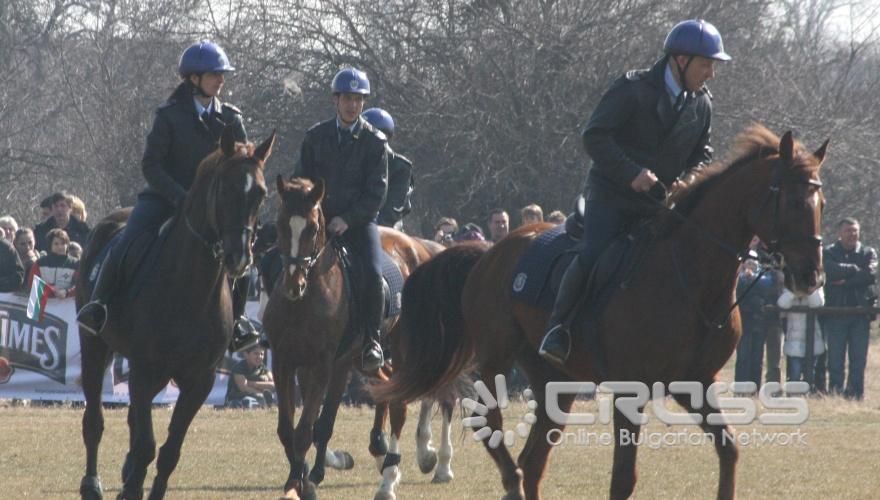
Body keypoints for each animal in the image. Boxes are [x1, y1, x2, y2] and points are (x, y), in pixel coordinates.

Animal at [77, 127, 276, 498]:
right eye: (224, 189)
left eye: (261, 193)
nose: (240, 258)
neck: (191, 288)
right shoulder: (143, 371)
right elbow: (147, 446)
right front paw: (131, 487)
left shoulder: (199, 380)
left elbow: (169, 451)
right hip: (95, 347)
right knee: (94, 421)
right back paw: (92, 485)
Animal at [262, 177, 454, 500]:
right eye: (279, 223)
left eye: (313, 228)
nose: (293, 285)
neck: (306, 301)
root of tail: (422, 248)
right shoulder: (285, 363)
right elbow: (288, 430)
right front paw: (301, 480)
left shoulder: (326, 365)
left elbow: (312, 427)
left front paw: (302, 484)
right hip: (365, 361)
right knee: (390, 388)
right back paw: (393, 454)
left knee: (404, 403)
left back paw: (400, 475)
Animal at [374, 123, 828, 498]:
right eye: (792, 201)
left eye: (820, 201)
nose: (811, 276)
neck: (689, 276)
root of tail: (488, 252)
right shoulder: (631, 390)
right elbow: (623, 479)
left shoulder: (695, 384)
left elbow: (728, 450)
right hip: (495, 358)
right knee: (490, 427)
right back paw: (504, 480)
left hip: (555, 380)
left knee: (532, 460)